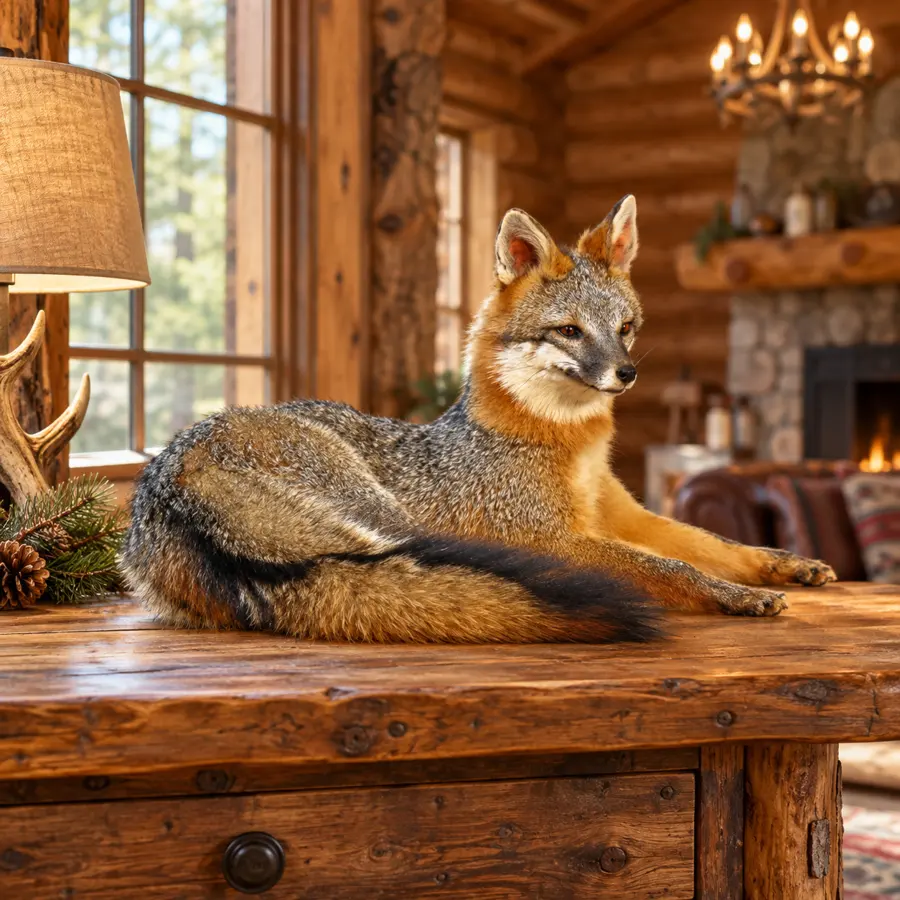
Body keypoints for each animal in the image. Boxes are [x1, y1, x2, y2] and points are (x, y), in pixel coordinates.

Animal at [123, 195, 836, 644]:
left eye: (625, 328)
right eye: (569, 332)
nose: (626, 374)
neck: (570, 448)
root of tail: (170, 482)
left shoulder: (624, 516)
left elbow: (712, 544)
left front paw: (781, 564)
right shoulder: (556, 536)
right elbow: (673, 569)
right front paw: (735, 596)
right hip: (392, 514)